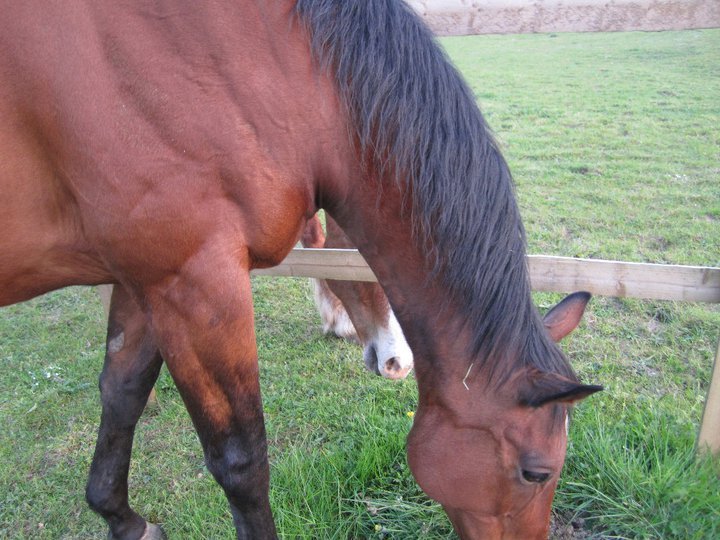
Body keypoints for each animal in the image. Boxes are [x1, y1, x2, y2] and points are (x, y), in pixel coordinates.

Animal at [0, 1, 602, 539]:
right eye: (536, 472)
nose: (398, 363)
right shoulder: (196, 283)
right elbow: (240, 461)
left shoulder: (145, 279)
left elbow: (122, 394)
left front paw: (122, 518)